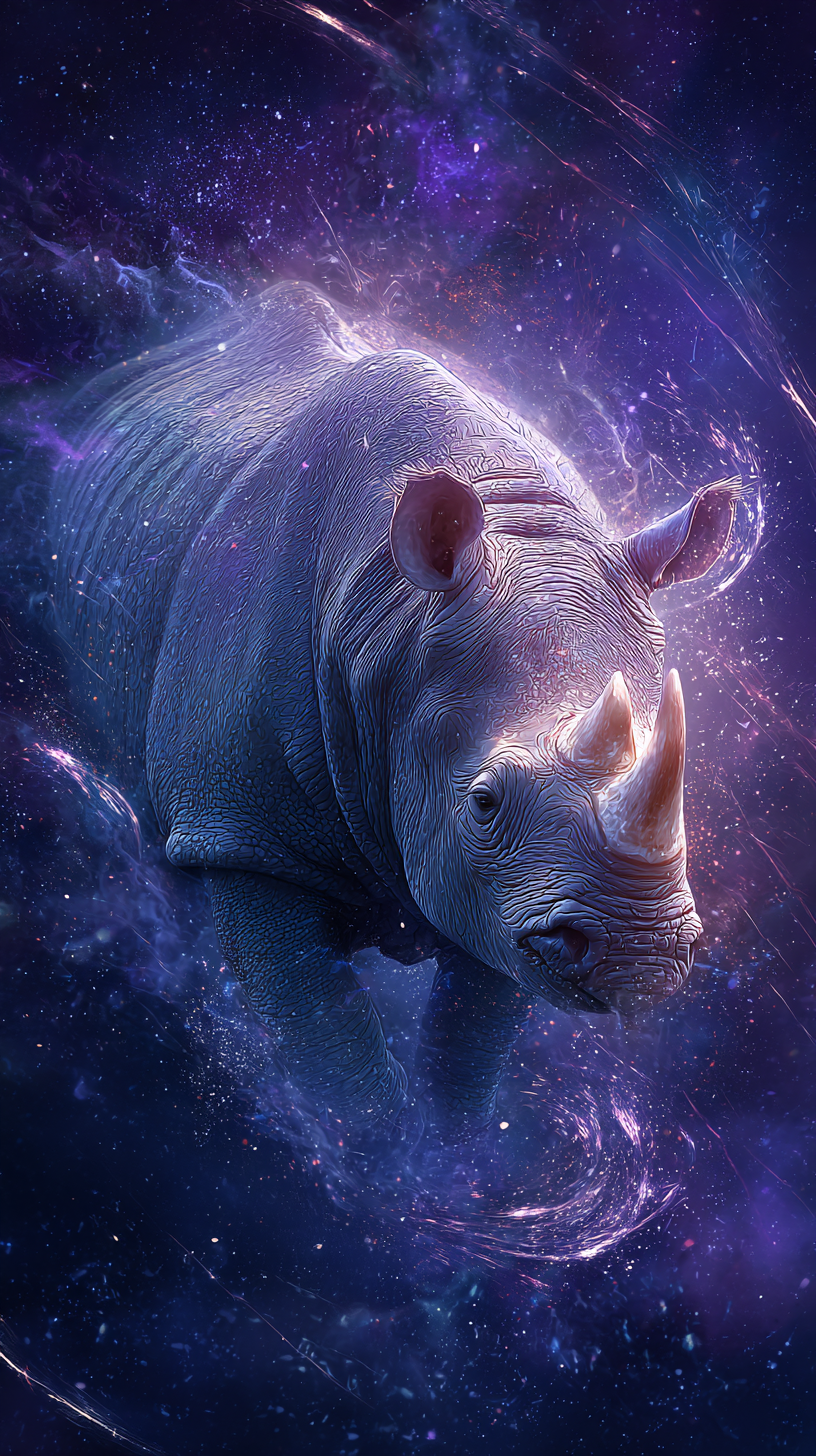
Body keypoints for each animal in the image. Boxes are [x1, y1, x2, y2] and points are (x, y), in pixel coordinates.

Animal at [52, 281, 735, 1133]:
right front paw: (373, 1155)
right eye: (483, 802)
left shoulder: (502, 896)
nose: (641, 952)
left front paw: (444, 1156)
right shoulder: (239, 830)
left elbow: (466, 1059)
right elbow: (333, 1059)